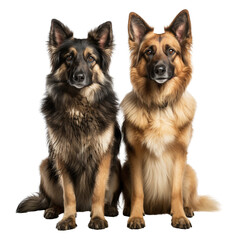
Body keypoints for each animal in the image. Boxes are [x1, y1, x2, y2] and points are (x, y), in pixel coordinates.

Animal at [16, 18, 122, 231]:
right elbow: (68, 194)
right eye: (69, 58)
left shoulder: (104, 156)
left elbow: (98, 191)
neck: (79, 108)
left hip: (117, 166)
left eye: (91, 59)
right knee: (55, 199)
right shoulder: (62, 156)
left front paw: (97, 218)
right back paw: (52, 210)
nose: (79, 77)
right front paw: (68, 218)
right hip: (45, 166)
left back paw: (109, 209)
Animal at [121, 9, 218, 230]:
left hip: (190, 172)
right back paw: (128, 209)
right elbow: (138, 192)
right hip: (124, 167)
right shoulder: (135, 156)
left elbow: (176, 192)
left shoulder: (180, 155)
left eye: (171, 51)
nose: (159, 69)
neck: (159, 106)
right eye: (149, 52)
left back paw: (187, 209)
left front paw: (179, 216)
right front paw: (136, 216)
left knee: (187, 196)